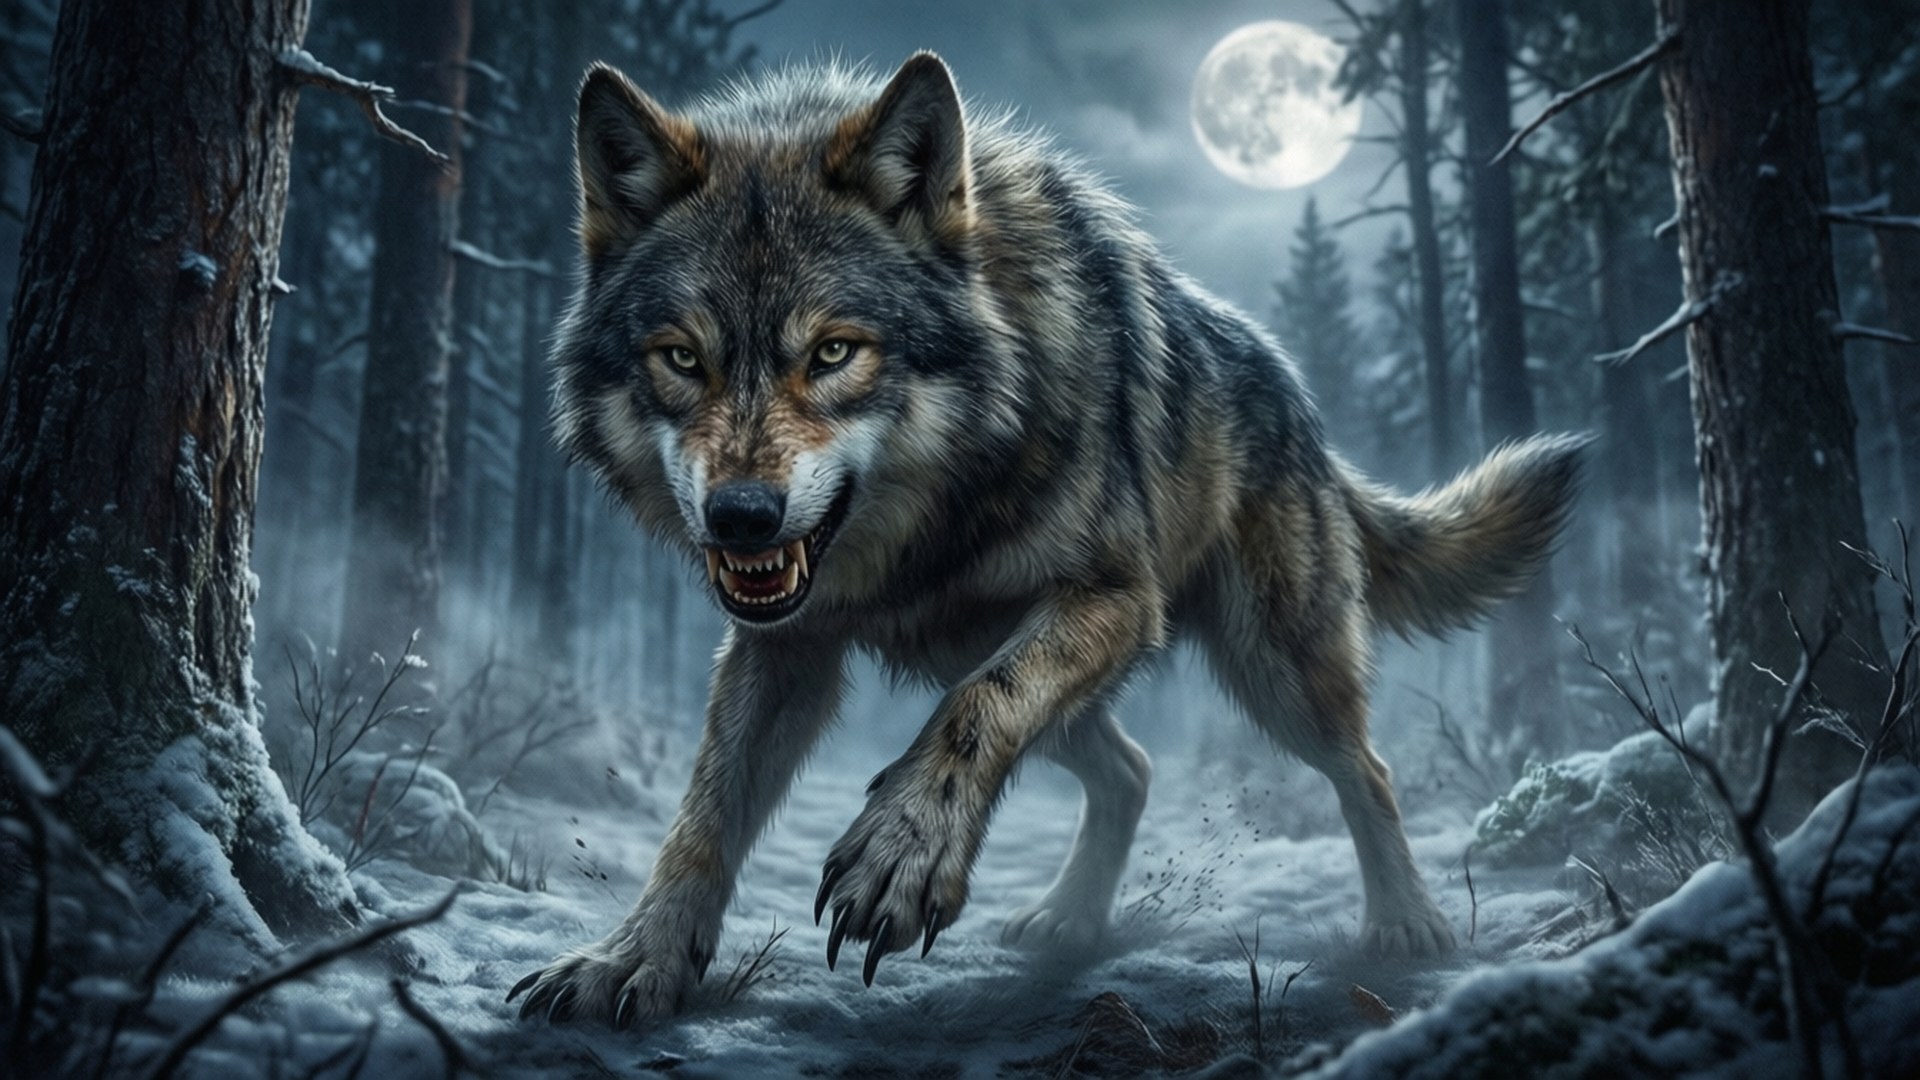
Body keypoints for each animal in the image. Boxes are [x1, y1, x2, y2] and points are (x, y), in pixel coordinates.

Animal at [507, 52, 1584, 1027]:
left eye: (834, 352)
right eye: (682, 358)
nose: (740, 516)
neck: (929, 531)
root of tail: (1299, 400)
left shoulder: (1115, 600)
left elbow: (976, 709)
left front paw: (902, 853)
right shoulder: (786, 645)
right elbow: (704, 812)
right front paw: (632, 958)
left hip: (1274, 670)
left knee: (1366, 770)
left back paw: (1405, 924)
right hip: (1029, 670)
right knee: (1132, 769)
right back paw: (1072, 921)